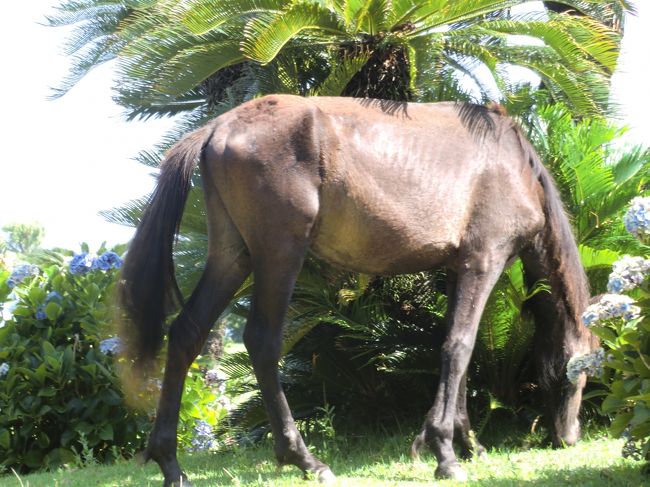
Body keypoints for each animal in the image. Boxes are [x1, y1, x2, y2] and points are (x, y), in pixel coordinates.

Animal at [117, 93, 596, 486]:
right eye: (582, 372)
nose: (569, 436)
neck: (514, 164)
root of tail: (220, 125)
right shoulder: (484, 260)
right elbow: (459, 348)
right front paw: (444, 451)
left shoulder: (459, 268)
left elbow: (458, 350)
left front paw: (466, 443)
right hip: (279, 254)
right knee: (262, 341)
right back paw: (304, 459)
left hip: (233, 256)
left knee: (186, 333)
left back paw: (169, 462)